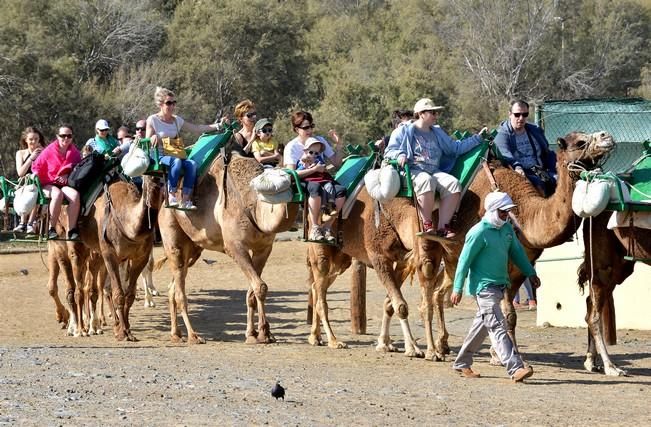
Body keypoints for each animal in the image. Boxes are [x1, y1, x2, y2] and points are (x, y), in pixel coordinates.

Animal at [158, 153, 300, 344]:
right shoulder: (234, 246)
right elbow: (260, 286)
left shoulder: (264, 248)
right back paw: (193, 336)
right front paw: (263, 333)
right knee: (180, 290)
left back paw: (176, 334)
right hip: (171, 235)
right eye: (289, 181)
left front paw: (253, 334)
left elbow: (253, 291)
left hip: (193, 248)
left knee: (173, 286)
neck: (253, 206)